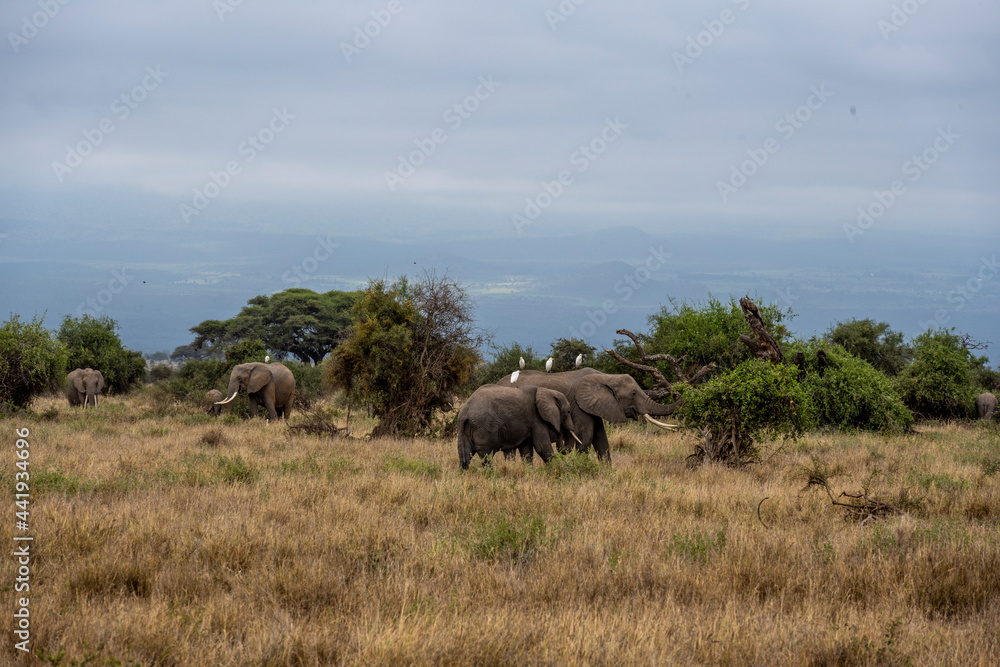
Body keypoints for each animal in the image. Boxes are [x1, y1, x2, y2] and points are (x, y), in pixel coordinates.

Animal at [499, 369, 678, 464]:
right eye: (633, 394)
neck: (607, 376)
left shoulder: (594, 406)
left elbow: (601, 440)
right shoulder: (580, 406)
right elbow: (585, 437)